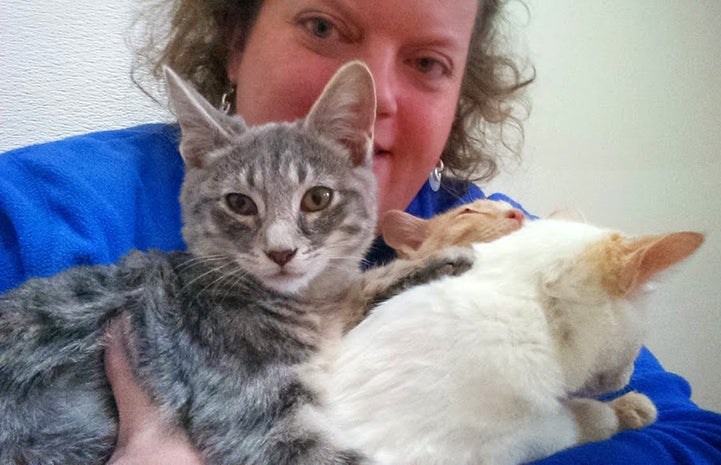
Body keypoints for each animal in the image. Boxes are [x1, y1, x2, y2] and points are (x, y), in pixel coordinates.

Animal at [0, 60, 470, 464]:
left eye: (318, 198)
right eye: (239, 203)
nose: (281, 251)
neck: (306, 305)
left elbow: (358, 290)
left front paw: (435, 262)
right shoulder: (254, 420)